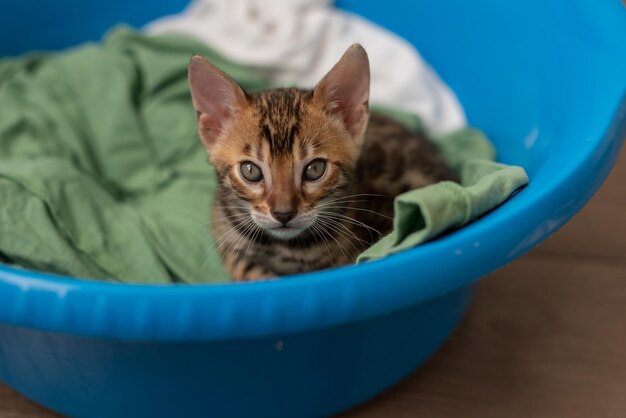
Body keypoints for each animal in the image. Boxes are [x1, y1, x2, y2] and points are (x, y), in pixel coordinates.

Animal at [188, 43, 450, 280]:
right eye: (250, 171)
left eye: (315, 169)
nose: (283, 214)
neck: (284, 248)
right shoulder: (225, 233)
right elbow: (244, 267)